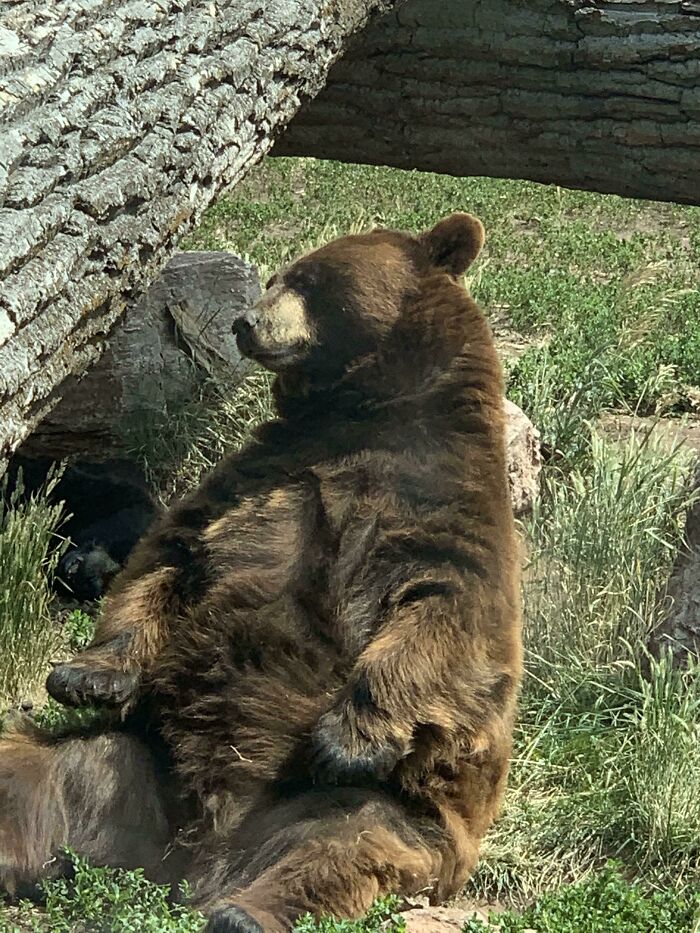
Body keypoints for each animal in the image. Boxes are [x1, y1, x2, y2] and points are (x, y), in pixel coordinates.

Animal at [0, 214, 522, 932]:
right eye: (277, 276)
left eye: (310, 278)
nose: (245, 322)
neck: (364, 409)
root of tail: (190, 862)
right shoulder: (264, 467)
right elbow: (168, 557)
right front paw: (86, 675)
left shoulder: (442, 499)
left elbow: (446, 614)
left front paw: (347, 738)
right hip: (123, 761)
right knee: (26, 773)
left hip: (374, 810)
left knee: (344, 844)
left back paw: (244, 911)